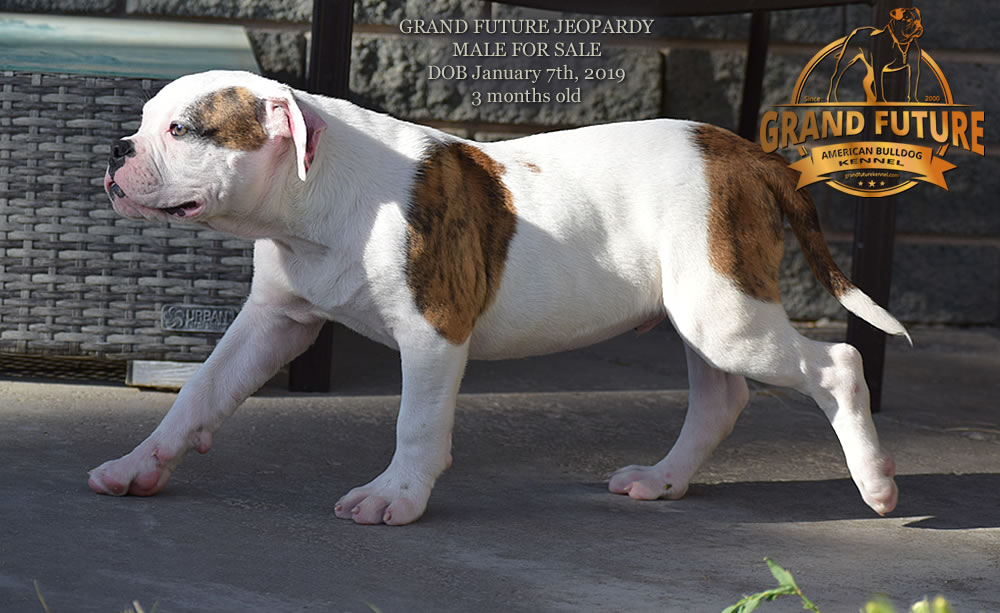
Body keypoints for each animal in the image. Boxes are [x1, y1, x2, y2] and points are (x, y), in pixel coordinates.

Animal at [90, 70, 912, 520]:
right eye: (142, 123)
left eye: (182, 130)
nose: (116, 148)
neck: (316, 199)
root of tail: (745, 153)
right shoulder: (274, 322)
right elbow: (198, 393)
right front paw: (138, 465)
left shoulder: (433, 331)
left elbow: (416, 424)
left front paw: (396, 496)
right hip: (704, 308)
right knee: (722, 398)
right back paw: (662, 479)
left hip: (725, 312)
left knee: (838, 364)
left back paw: (875, 482)